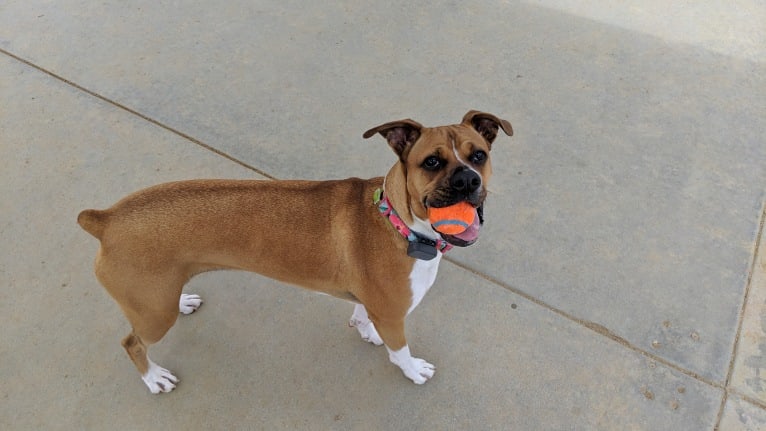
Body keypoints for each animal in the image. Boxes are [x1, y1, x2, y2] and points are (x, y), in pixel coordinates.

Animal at [78, 109, 512, 394]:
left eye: (479, 155)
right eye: (432, 162)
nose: (467, 180)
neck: (398, 222)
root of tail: (106, 219)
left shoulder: (374, 302)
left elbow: (362, 315)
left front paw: (365, 329)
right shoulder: (394, 315)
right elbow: (399, 351)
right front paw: (411, 369)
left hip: (157, 299)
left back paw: (183, 300)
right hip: (154, 317)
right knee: (132, 343)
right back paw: (154, 378)